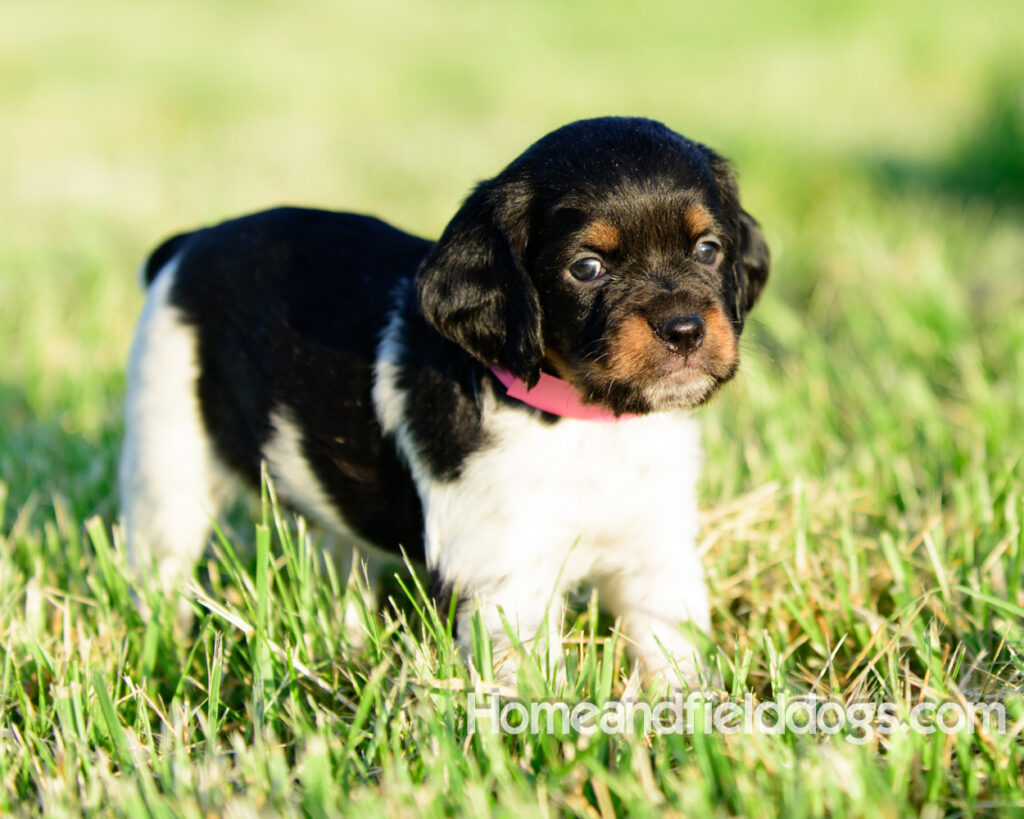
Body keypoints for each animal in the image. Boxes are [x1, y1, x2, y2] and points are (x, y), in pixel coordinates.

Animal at [119, 116, 770, 683]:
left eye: (708, 250)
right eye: (587, 267)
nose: (684, 330)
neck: (587, 423)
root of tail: (189, 243)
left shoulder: (656, 549)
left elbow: (674, 650)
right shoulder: (506, 579)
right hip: (166, 457)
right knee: (160, 568)